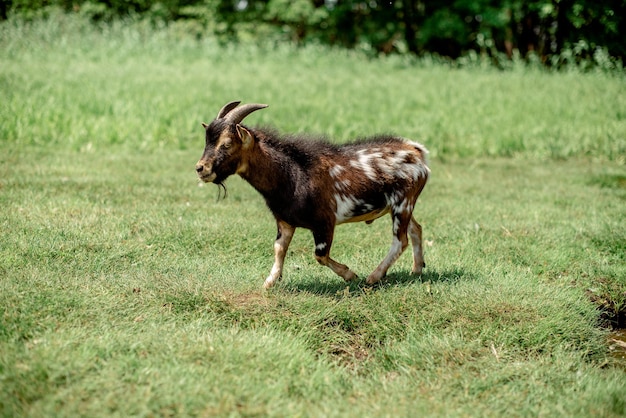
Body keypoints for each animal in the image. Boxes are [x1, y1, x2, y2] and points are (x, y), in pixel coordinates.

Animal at [196, 100, 428, 288]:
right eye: (206, 141)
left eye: (227, 144)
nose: (200, 168)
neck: (293, 174)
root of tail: (417, 151)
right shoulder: (285, 221)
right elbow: (279, 248)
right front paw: (270, 282)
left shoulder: (324, 222)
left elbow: (320, 255)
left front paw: (351, 275)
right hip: (400, 206)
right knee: (416, 229)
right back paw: (416, 270)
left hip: (402, 203)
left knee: (400, 241)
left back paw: (374, 276)